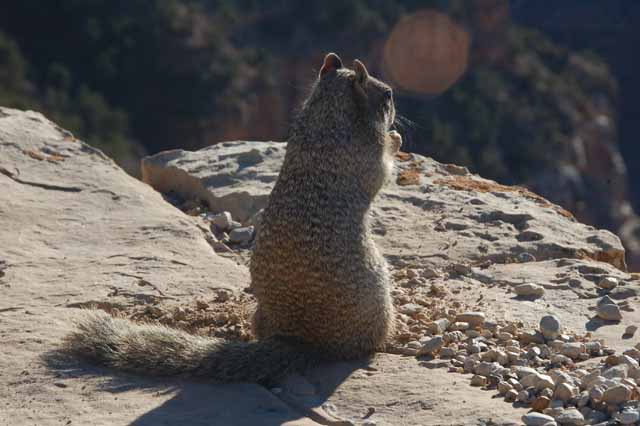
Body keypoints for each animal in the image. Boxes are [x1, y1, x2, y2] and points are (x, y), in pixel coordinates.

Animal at [65, 52, 400, 382]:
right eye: (387, 94)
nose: (393, 103)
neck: (327, 116)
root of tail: (302, 341)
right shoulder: (368, 158)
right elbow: (383, 170)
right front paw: (394, 139)